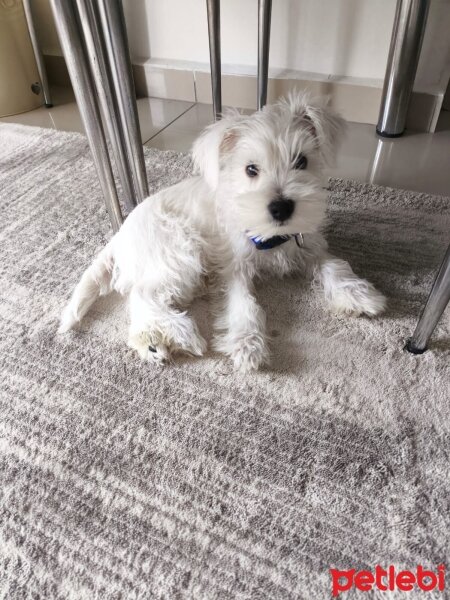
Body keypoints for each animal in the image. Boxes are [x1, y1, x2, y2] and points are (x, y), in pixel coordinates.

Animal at [59, 95, 384, 370]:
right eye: (251, 169)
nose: (281, 208)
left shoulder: (308, 245)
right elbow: (243, 304)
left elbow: (333, 265)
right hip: (179, 252)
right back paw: (180, 334)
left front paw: (359, 295)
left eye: (301, 161)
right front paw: (247, 345)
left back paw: (155, 344)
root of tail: (120, 235)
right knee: (141, 295)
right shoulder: (233, 267)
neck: (270, 237)